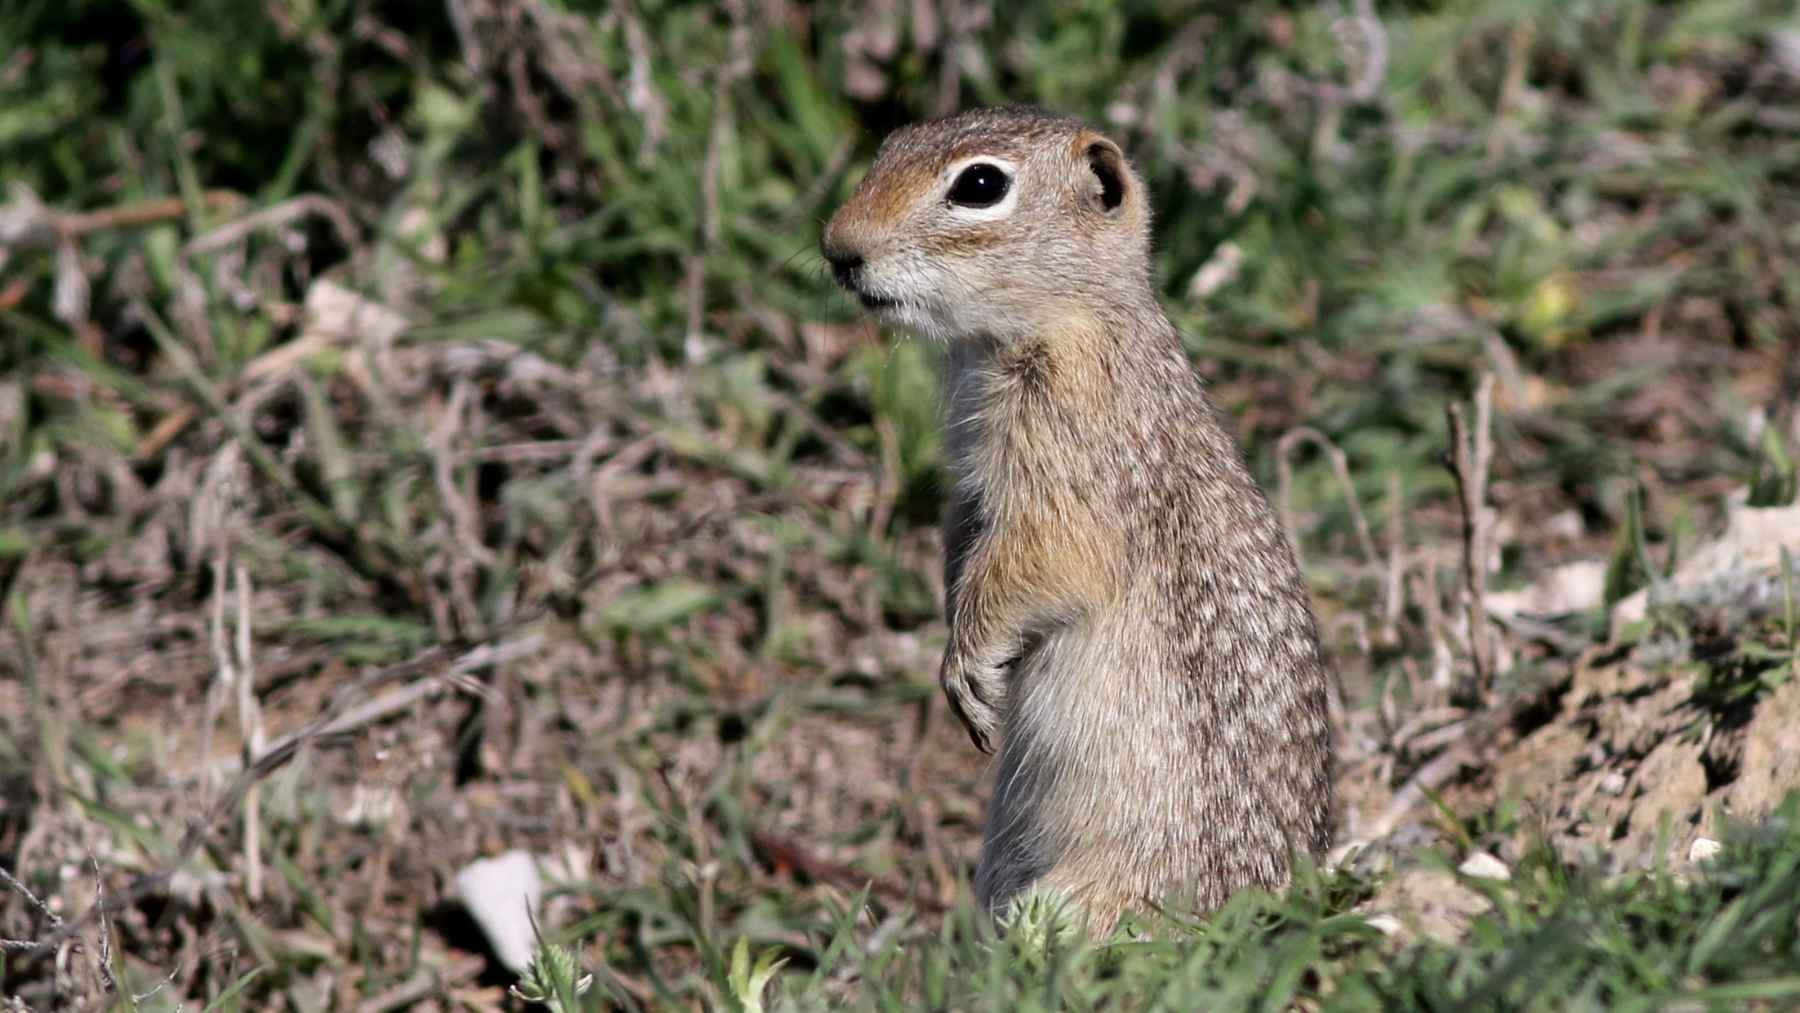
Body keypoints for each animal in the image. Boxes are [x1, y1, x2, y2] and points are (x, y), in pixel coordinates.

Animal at [821, 106, 1333, 931]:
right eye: (891, 144)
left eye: (980, 184)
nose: (838, 247)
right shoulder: (972, 491)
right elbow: (963, 548)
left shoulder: (1069, 472)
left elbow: (1039, 562)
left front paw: (967, 666)